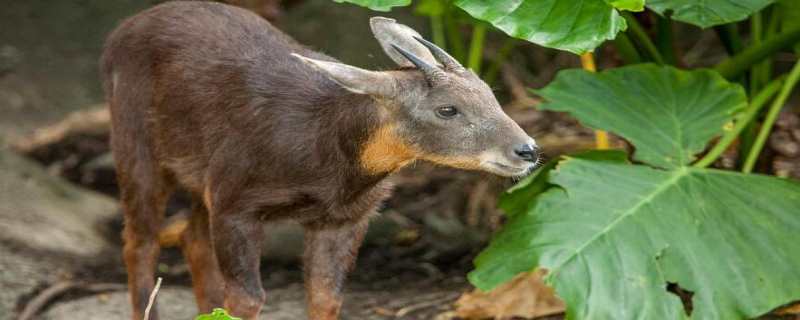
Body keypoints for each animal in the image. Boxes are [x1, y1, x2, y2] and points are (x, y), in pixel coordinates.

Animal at [100, 1, 536, 318]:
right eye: (447, 109)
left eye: (491, 93)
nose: (528, 150)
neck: (324, 162)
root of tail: (117, 35)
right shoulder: (236, 203)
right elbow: (248, 299)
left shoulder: (345, 218)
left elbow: (326, 296)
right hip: (135, 145)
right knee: (139, 242)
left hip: (198, 178)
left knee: (190, 237)